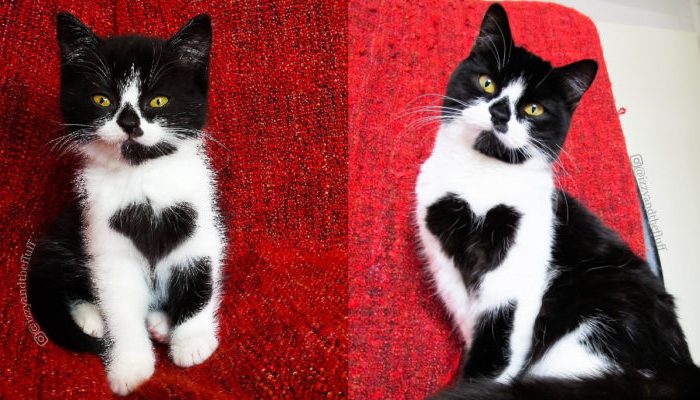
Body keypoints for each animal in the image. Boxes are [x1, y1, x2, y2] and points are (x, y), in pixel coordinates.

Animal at [26, 13, 224, 396]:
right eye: (102, 100)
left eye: (158, 101)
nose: (130, 123)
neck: (141, 176)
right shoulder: (103, 233)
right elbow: (119, 305)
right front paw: (130, 366)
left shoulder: (199, 219)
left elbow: (199, 277)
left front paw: (192, 341)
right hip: (64, 230)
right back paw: (91, 318)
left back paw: (161, 324)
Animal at [416, 3, 700, 400]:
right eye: (488, 83)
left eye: (533, 109)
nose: (500, 113)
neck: (481, 178)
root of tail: (680, 371)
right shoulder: (446, 266)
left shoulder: (514, 283)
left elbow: (499, 346)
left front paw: (475, 386)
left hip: (593, 331)